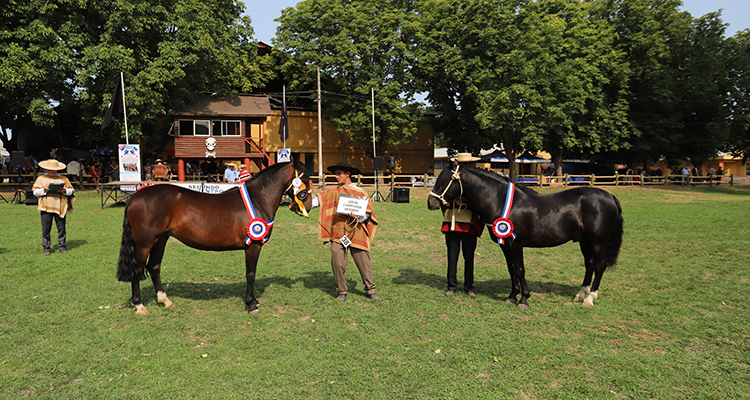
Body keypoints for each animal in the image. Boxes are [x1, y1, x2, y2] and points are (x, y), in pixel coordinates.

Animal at [117, 159, 314, 316]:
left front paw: (254, 301)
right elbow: (250, 274)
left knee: (154, 267)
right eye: (304, 180)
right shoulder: (253, 246)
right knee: (137, 270)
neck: (258, 198)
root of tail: (135, 196)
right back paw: (140, 306)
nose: (309, 205)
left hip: (160, 240)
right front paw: (251, 304)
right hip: (145, 243)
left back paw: (165, 301)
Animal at [428, 160, 624, 310]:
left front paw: (523, 300)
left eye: (447, 180)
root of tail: (609, 196)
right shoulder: (506, 246)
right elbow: (512, 270)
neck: (501, 200)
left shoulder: (516, 245)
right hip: (585, 242)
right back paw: (580, 295)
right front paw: (512, 296)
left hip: (598, 242)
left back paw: (589, 299)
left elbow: (520, 270)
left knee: (599, 266)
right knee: (589, 265)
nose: (431, 202)